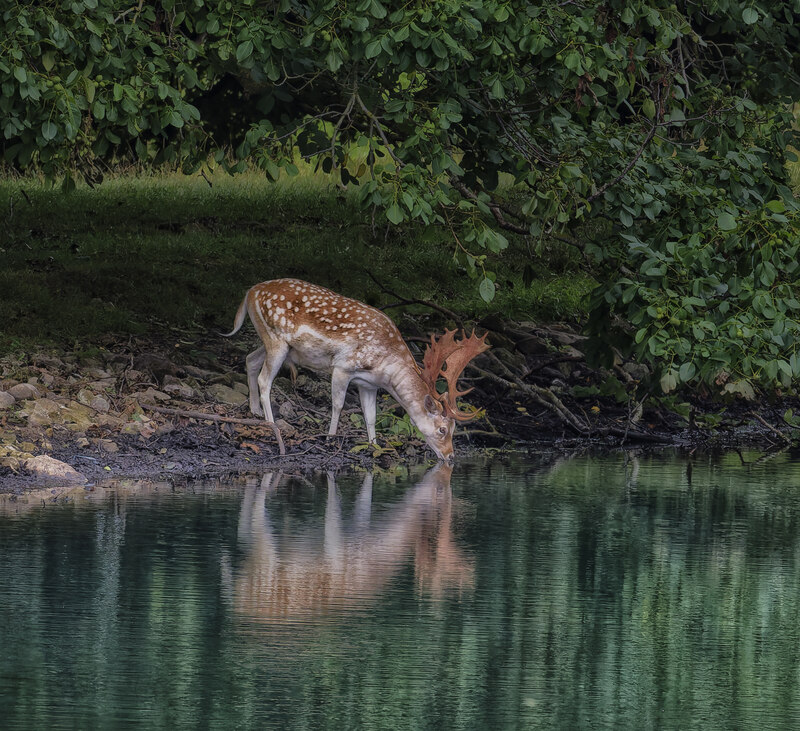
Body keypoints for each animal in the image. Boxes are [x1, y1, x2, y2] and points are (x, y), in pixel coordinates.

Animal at [223, 278, 489, 462]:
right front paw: (330, 438)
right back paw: (272, 424)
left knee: (250, 359)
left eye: (454, 429)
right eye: (443, 429)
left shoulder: (368, 384)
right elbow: (338, 404)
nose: (451, 456)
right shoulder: (343, 366)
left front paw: (374, 445)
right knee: (264, 379)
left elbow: (370, 416)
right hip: (275, 339)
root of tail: (250, 292)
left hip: (277, 344)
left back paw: (255, 410)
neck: (385, 369)